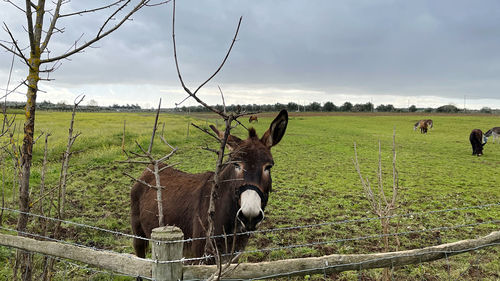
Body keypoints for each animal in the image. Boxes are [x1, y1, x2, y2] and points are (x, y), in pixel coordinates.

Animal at [131, 108, 290, 262]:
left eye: (268, 167)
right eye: (236, 164)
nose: (249, 215)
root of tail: (149, 169)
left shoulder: (231, 259)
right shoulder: (199, 257)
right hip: (138, 235)